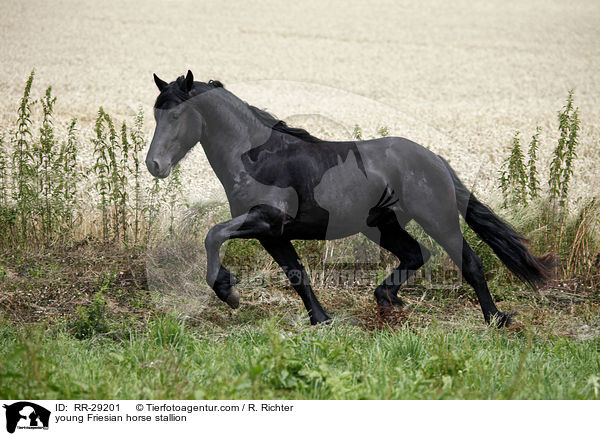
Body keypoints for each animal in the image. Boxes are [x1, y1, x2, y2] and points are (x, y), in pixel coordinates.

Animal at [145, 69, 552, 328]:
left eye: (177, 114)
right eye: (155, 113)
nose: (155, 164)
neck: (257, 156)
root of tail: (435, 158)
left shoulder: (266, 220)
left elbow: (212, 234)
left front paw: (228, 293)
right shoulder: (272, 234)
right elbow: (296, 274)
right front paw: (321, 320)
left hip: (438, 217)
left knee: (469, 262)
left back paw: (495, 319)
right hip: (382, 226)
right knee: (416, 254)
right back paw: (386, 300)